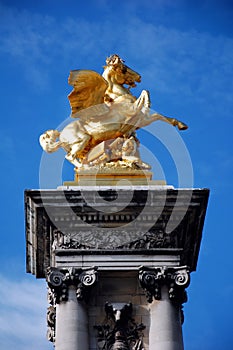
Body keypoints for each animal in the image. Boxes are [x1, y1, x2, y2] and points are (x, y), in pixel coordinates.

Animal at [39, 54, 187, 169]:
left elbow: (158, 115)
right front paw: (146, 104)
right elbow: (145, 93)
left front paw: (181, 125)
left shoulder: (142, 121)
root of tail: (61, 134)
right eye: (123, 69)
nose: (139, 77)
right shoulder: (132, 111)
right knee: (70, 156)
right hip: (82, 140)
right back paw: (88, 167)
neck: (120, 97)